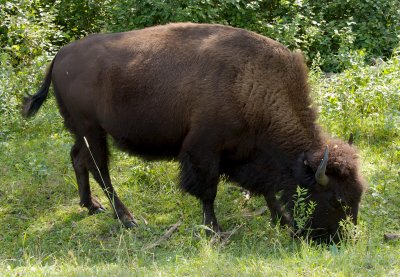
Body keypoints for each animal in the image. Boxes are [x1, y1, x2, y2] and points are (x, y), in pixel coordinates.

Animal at [22, 21, 366, 242]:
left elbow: (266, 190)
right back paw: (126, 218)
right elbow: (207, 191)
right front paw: (214, 231)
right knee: (99, 168)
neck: (251, 84)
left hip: (82, 131)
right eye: (336, 200)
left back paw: (91, 206)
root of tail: (60, 56)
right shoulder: (204, 151)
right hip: (91, 130)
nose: (341, 240)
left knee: (78, 158)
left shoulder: (244, 155)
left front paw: (279, 221)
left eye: (358, 195)